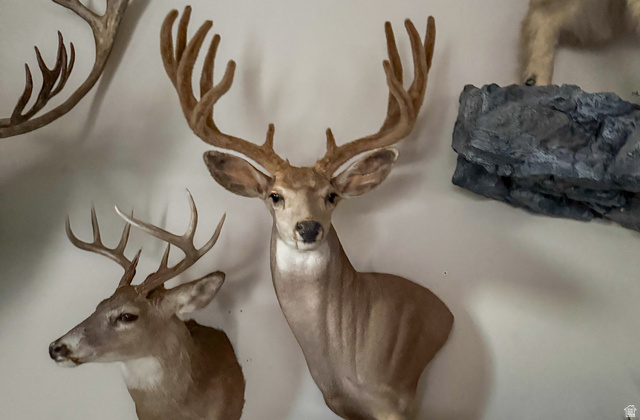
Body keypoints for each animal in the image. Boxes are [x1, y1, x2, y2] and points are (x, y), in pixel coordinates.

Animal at [160, 7, 453, 420]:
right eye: (275, 196)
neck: (343, 363)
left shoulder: (396, 398)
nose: (309, 227)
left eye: (332, 195)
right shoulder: (340, 405)